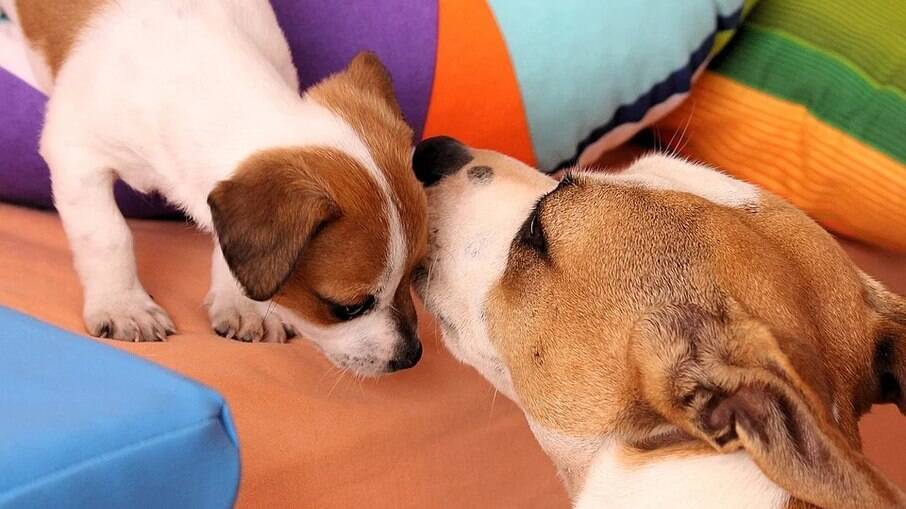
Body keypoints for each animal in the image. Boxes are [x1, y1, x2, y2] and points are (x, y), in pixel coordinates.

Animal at [0, 0, 428, 374]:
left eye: (414, 274)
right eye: (348, 308)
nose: (412, 357)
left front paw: (244, 307)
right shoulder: (77, 155)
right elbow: (108, 236)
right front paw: (123, 305)